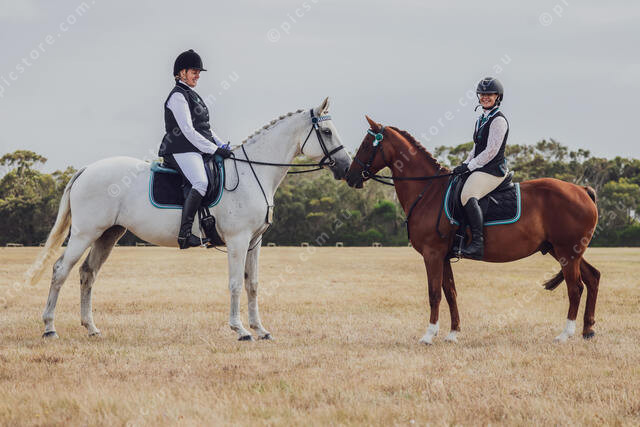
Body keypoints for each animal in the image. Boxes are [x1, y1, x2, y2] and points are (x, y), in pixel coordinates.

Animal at [25, 97, 352, 341]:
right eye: (326, 132)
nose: (347, 167)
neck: (252, 173)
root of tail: (87, 169)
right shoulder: (237, 240)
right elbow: (235, 283)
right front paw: (241, 330)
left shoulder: (254, 242)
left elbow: (253, 284)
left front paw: (261, 329)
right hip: (85, 233)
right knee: (60, 271)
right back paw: (50, 327)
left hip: (108, 235)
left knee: (87, 273)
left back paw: (91, 328)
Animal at [345, 116, 600, 344]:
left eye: (366, 145)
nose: (349, 176)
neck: (428, 191)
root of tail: (582, 190)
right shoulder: (443, 256)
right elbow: (450, 293)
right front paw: (453, 333)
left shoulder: (432, 254)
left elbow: (434, 293)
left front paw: (428, 335)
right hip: (565, 252)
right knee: (592, 277)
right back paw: (588, 330)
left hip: (567, 251)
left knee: (575, 288)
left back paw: (565, 334)